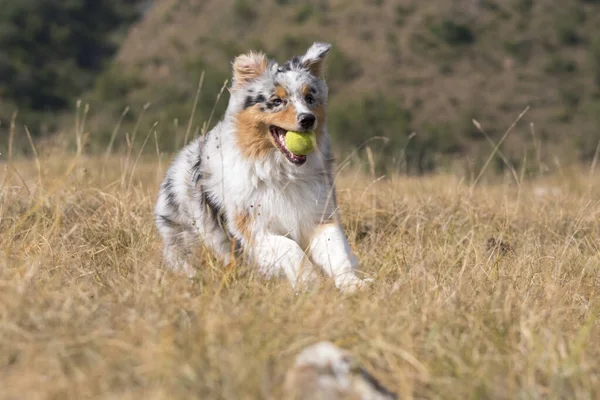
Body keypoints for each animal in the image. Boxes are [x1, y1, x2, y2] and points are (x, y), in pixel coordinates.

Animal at [154, 42, 370, 292]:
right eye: (276, 101)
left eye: (309, 98)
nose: (308, 119)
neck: (281, 171)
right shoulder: (253, 228)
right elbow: (290, 247)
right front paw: (309, 282)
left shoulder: (319, 214)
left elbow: (337, 251)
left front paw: (353, 284)